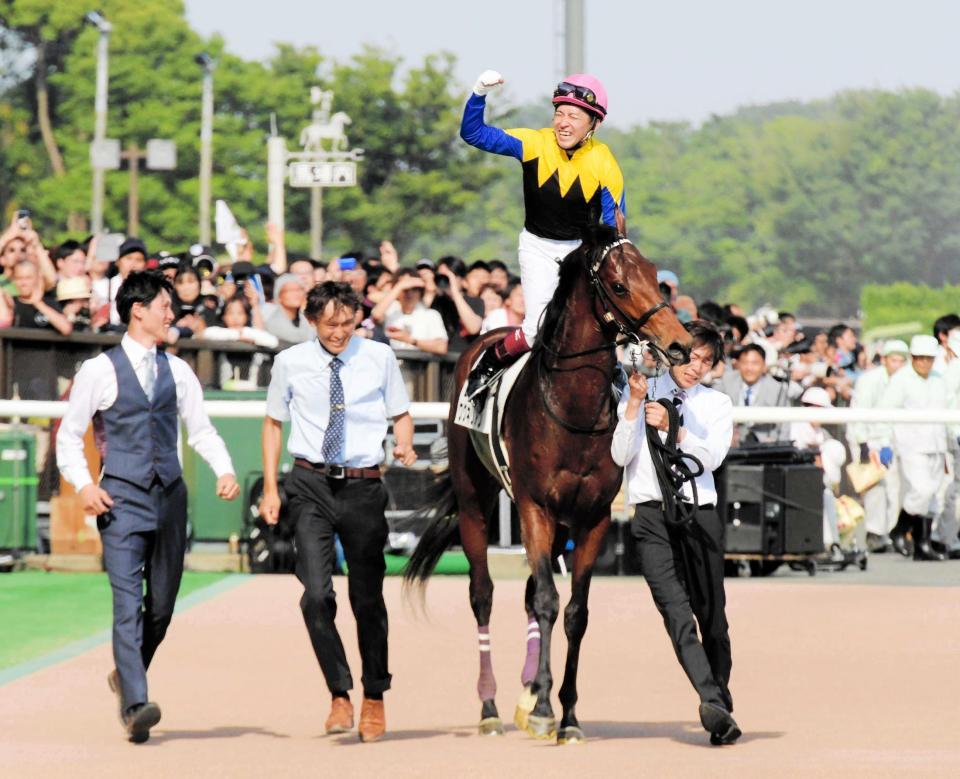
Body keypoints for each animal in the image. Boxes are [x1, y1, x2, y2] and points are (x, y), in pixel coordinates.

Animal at [404, 224, 688, 744]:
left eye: (655, 276)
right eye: (619, 286)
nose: (679, 344)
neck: (572, 409)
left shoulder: (592, 517)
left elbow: (574, 611)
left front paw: (565, 713)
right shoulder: (534, 507)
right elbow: (547, 601)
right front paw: (541, 709)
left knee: (527, 598)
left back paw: (525, 693)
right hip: (475, 502)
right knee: (484, 595)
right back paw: (491, 706)